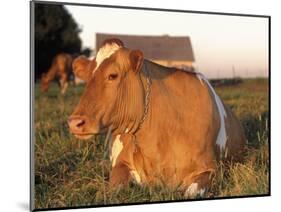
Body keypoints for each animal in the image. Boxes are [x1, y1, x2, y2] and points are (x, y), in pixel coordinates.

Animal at [68, 39, 245, 198]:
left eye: (112, 75)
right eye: (86, 78)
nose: (74, 122)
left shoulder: (211, 169)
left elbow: (191, 193)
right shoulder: (121, 163)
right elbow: (114, 188)